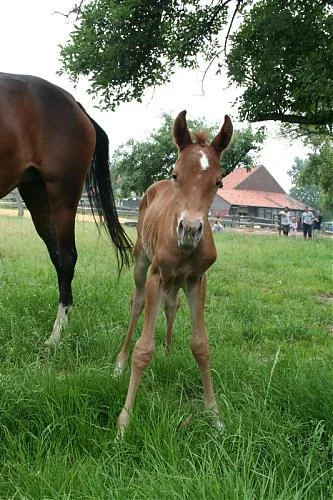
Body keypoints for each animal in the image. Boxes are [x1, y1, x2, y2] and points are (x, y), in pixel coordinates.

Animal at [115, 109, 232, 434]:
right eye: (176, 174)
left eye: (218, 182)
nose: (189, 230)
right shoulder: (156, 275)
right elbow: (143, 350)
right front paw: (124, 422)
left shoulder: (197, 280)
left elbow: (201, 346)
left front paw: (215, 417)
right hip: (142, 262)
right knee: (137, 302)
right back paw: (119, 362)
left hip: (176, 281)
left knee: (171, 304)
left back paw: (167, 353)